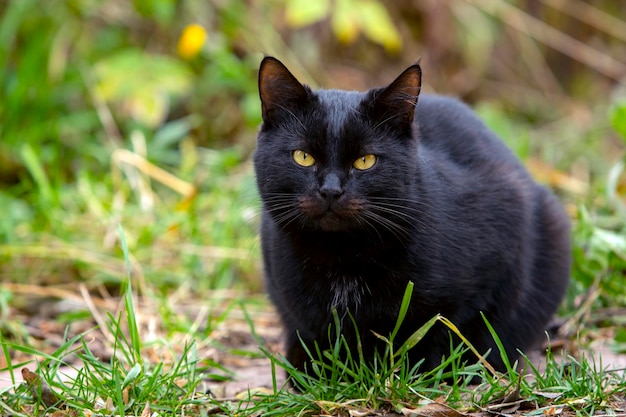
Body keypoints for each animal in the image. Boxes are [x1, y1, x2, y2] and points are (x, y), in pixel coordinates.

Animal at [251, 57, 568, 378]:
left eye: (365, 161)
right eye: (303, 156)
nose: (330, 190)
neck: (341, 256)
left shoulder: (502, 235)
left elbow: (446, 329)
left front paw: (415, 373)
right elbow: (310, 330)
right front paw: (313, 371)